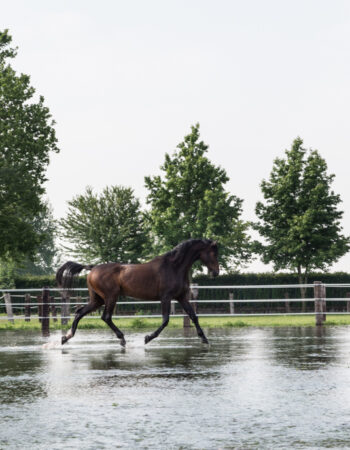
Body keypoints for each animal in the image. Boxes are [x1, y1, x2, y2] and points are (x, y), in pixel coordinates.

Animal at [56, 239, 219, 348]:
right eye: (212, 252)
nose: (216, 273)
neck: (174, 267)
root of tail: (92, 268)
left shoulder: (181, 297)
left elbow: (194, 316)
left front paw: (205, 339)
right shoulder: (166, 297)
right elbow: (165, 320)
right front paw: (147, 338)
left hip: (98, 300)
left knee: (80, 312)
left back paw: (65, 337)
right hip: (111, 297)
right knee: (106, 317)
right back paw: (122, 339)